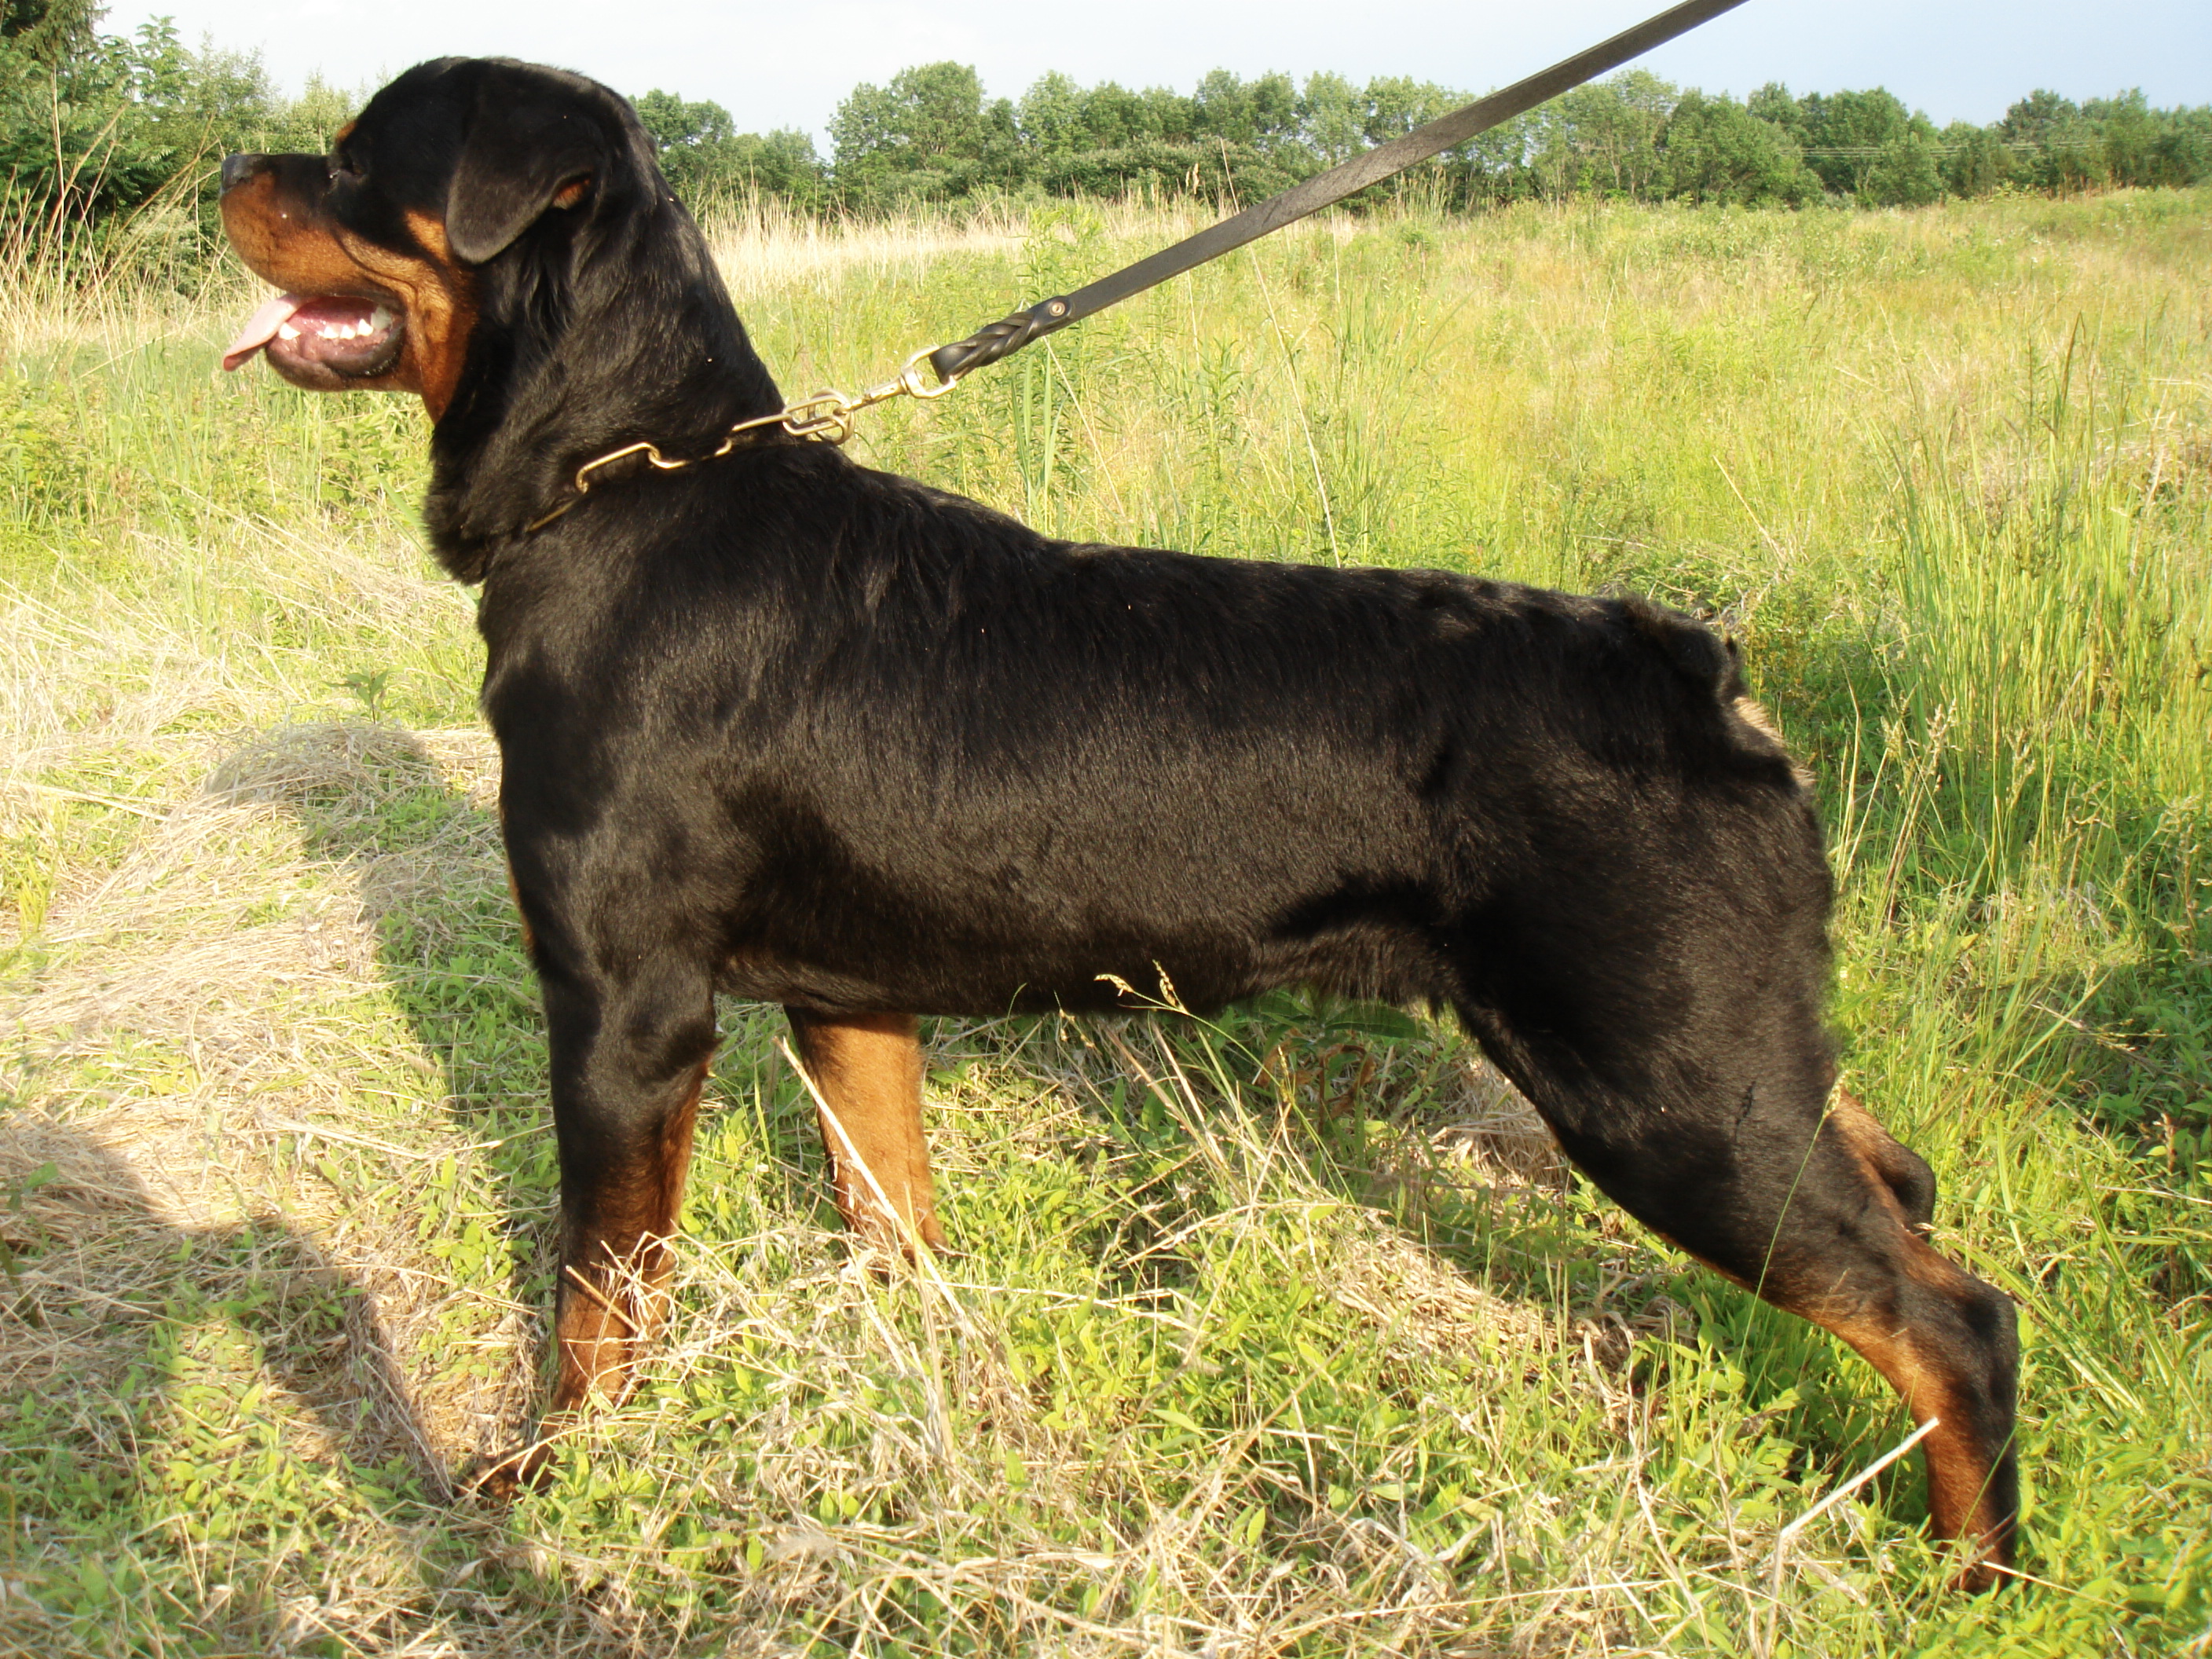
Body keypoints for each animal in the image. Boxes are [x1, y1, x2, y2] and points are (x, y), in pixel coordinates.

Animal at [220, 55, 2026, 1584]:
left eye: (357, 161)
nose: (232, 167)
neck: (626, 486)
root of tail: (1697, 670)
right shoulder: (849, 1000)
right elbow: (891, 1218)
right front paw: (925, 1390)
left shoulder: (624, 1011)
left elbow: (596, 1285)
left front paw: (550, 1473)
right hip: (1730, 1047)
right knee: (1902, 1182)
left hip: (1662, 1089)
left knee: (1953, 1326)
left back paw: (1975, 1578)